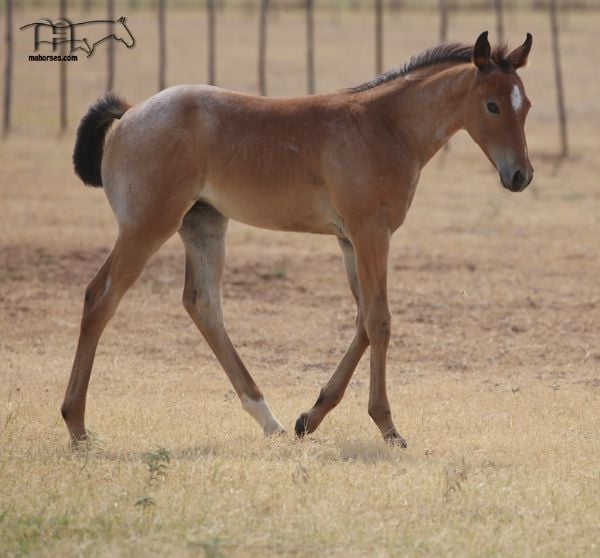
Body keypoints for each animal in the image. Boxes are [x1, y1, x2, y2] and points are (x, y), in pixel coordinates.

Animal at [62, 32, 536, 448]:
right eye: (492, 105)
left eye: (526, 105)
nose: (520, 176)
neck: (385, 127)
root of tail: (131, 112)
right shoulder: (371, 233)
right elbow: (379, 321)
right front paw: (387, 427)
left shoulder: (350, 242)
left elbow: (363, 320)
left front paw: (310, 417)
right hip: (147, 226)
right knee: (100, 297)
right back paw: (77, 425)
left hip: (204, 224)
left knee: (203, 304)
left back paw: (267, 418)